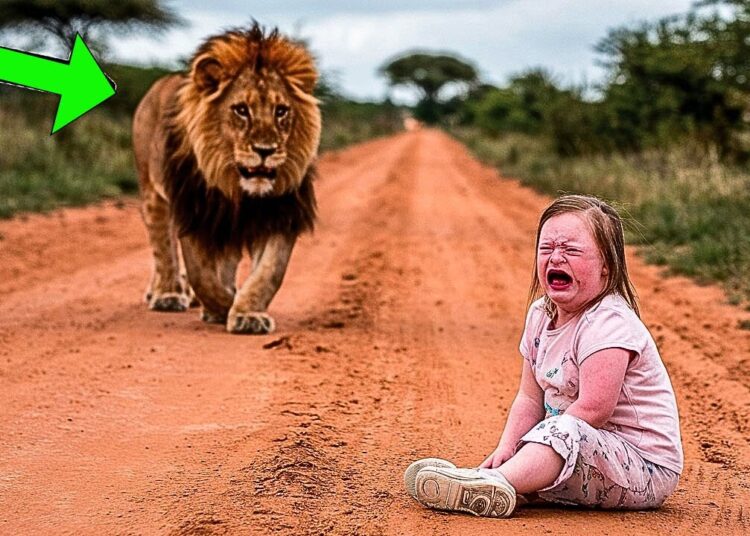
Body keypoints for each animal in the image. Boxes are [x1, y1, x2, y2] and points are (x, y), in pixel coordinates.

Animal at [132, 24, 321, 334]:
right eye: (241, 109)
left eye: (281, 111)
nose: (265, 150)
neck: (236, 188)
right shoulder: (194, 212)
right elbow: (202, 276)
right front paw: (220, 308)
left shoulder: (280, 213)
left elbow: (269, 272)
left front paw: (248, 313)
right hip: (153, 193)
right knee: (163, 247)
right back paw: (167, 294)